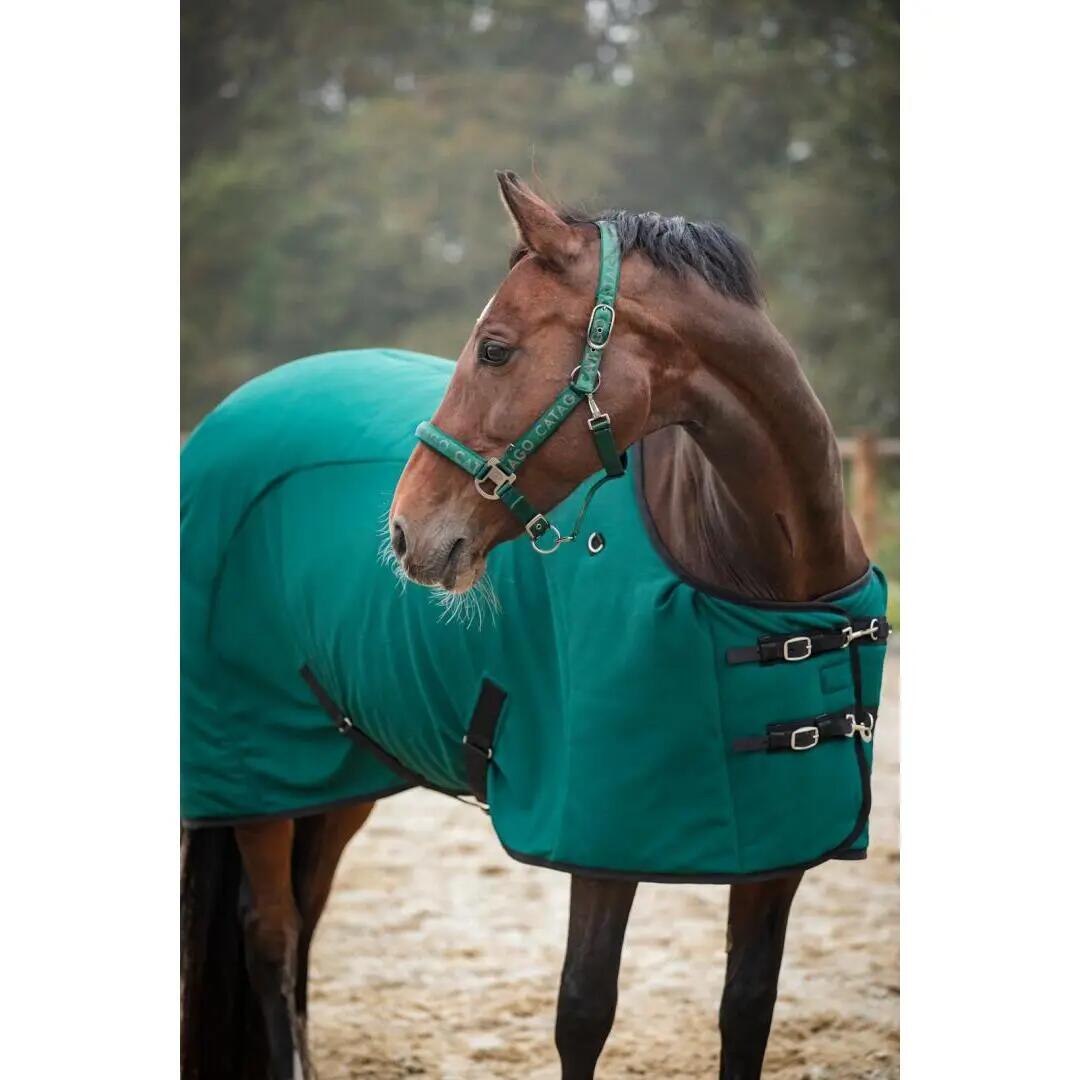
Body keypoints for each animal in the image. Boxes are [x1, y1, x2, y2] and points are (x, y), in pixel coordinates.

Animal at [181, 171, 877, 1080]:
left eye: (495, 349)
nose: (405, 532)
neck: (758, 576)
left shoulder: (776, 856)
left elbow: (746, 1010)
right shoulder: (600, 841)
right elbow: (582, 1011)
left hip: (334, 770)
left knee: (306, 918)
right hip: (255, 776)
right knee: (272, 935)